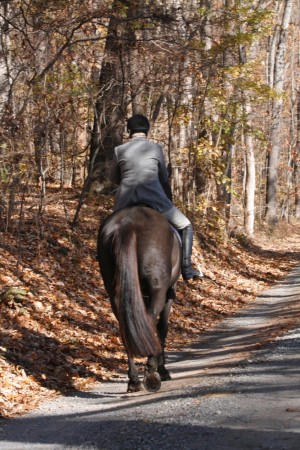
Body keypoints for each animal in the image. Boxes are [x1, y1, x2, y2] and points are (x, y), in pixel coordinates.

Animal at [97, 206, 180, 392]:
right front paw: (162, 369)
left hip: (115, 293)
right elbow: (162, 328)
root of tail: (128, 223)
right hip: (158, 290)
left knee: (126, 327)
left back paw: (134, 380)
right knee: (150, 320)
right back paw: (151, 374)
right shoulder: (168, 294)